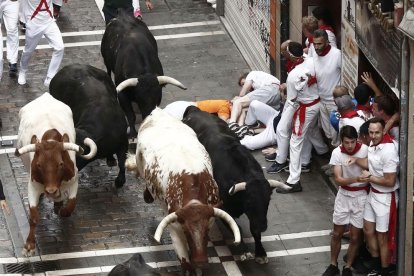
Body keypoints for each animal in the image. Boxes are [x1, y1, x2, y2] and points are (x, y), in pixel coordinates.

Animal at [15, 93, 95, 256]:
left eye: (61, 164)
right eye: (39, 165)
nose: (51, 191)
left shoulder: (74, 181)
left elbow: (71, 205)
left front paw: (62, 209)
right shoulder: (33, 186)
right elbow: (33, 217)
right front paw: (29, 245)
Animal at [125, 107, 239, 274]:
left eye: (206, 232)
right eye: (186, 232)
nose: (201, 262)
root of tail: (158, 112)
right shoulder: (175, 227)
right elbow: (185, 260)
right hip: (141, 163)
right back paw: (147, 195)